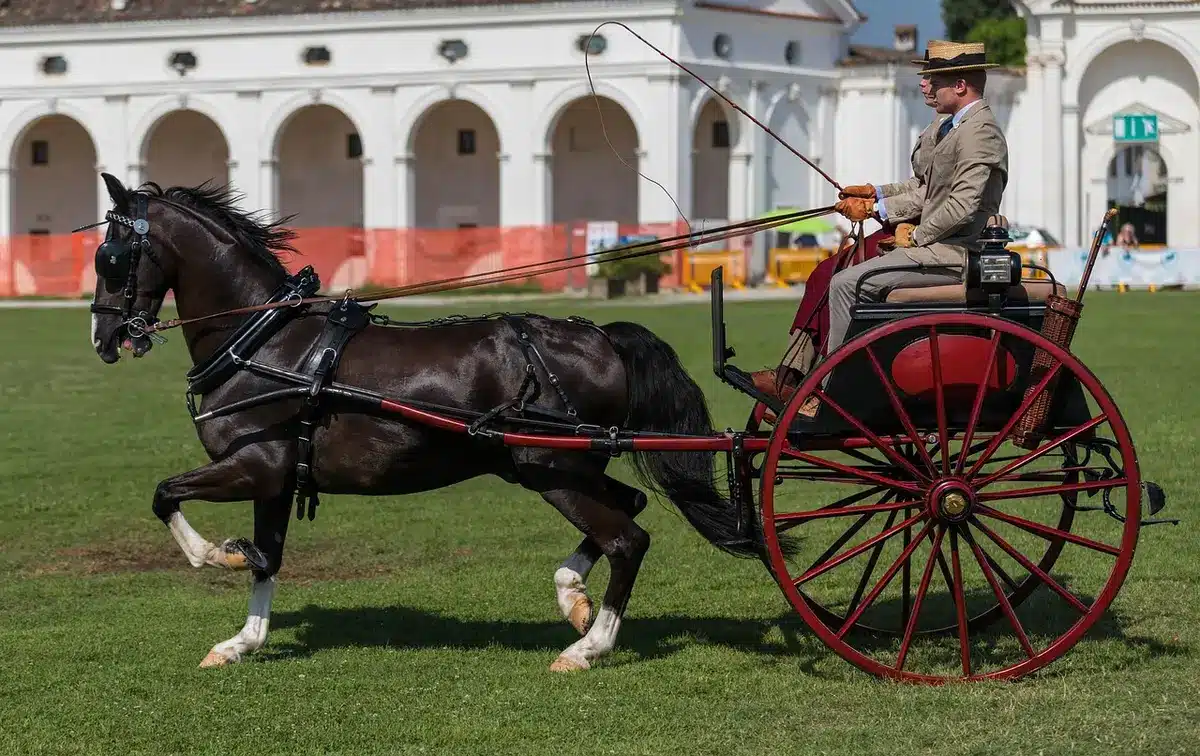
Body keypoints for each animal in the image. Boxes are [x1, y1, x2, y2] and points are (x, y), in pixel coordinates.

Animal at [86, 172, 793, 672]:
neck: (265, 341)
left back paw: (588, 647)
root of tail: (600, 337)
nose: (104, 337)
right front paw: (244, 640)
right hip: (564, 467)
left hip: (551, 469)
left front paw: (218, 555)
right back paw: (572, 596)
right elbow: (269, 559)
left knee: (628, 539)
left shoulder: (252, 465)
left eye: (111, 257)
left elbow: (167, 497)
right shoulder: (276, 478)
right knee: (632, 507)